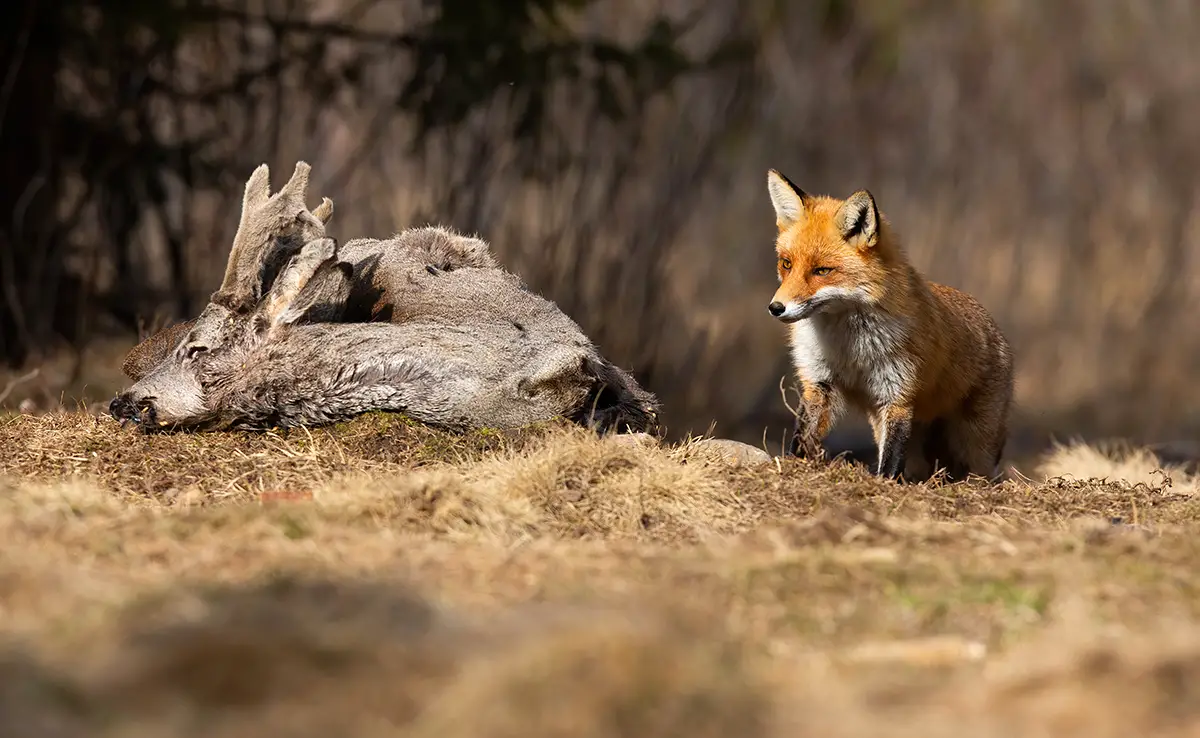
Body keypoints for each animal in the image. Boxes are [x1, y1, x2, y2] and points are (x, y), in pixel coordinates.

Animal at [763, 169, 1008, 482]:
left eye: (822, 271)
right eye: (786, 264)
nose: (776, 308)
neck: (849, 347)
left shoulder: (897, 395)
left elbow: (890, 461)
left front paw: (883, 484)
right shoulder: (820, 383)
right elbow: (802, 438)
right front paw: (793, 466)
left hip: (977, 445)